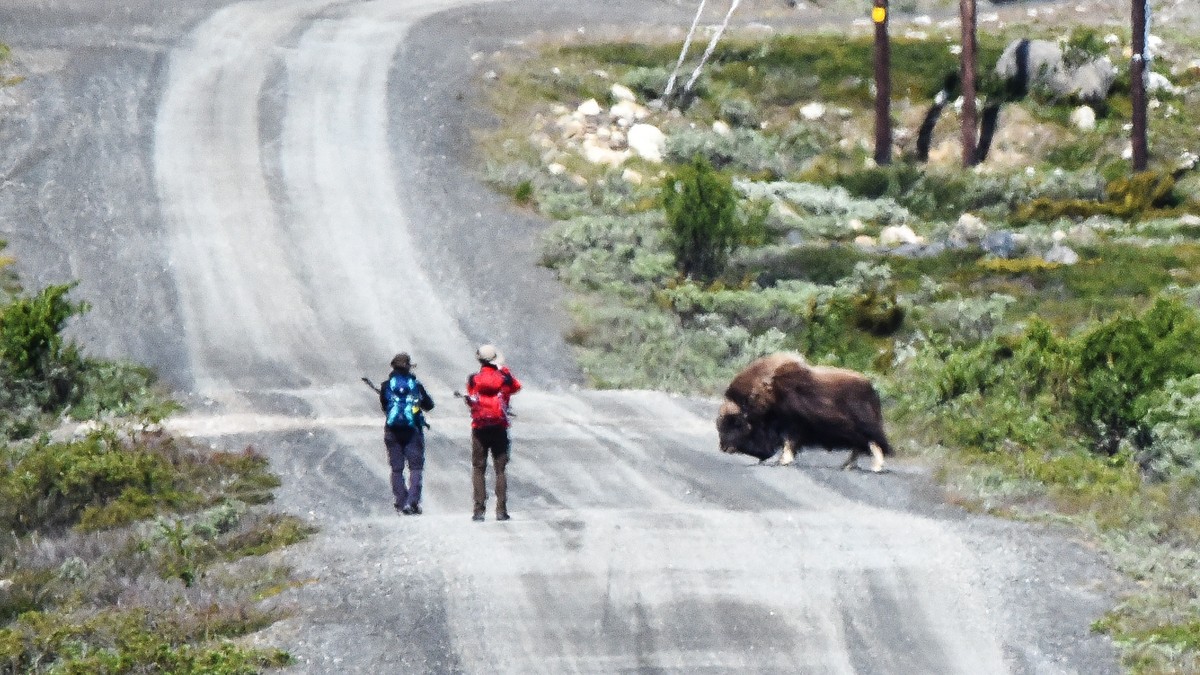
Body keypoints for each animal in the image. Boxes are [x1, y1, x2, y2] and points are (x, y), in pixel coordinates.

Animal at [716, 353, 892, 472]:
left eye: (736, 423)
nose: (724, 447)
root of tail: (872, 390)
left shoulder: (792, 425)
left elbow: (789, 442)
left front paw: (784, 461)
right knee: (861, 447)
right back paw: (847, 465)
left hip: (863, 428)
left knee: (874, 444)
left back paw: (875, 467)